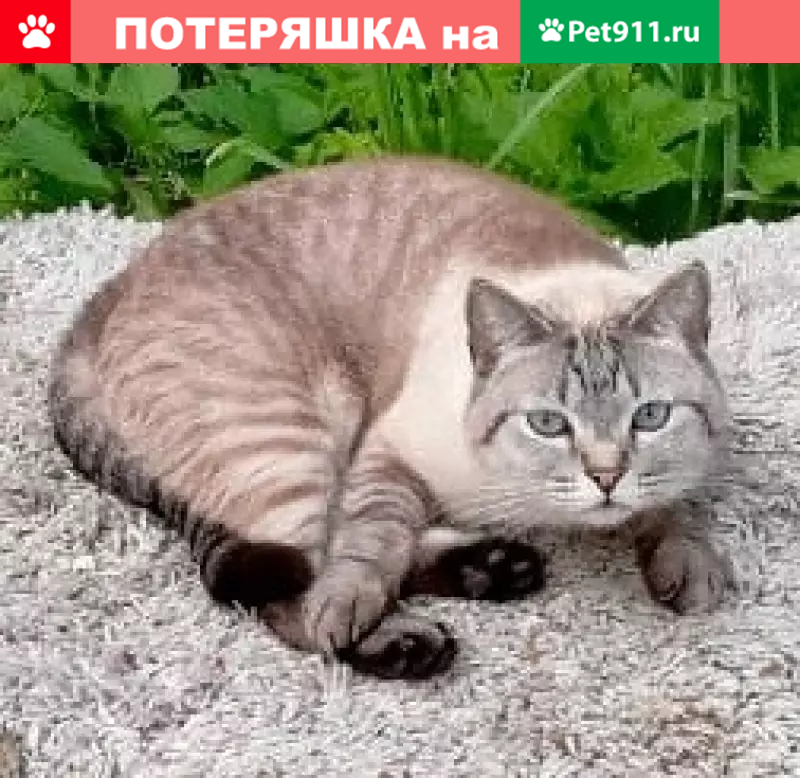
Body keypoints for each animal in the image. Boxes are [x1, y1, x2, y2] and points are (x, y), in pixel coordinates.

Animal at [48, 156, 732, 680]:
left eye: (650, 417)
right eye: (548, 424)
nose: (605, 477)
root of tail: (106, 296)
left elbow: (677, 504)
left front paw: (687, 564)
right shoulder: (387, 451)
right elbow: (369, 545)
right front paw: (352, 605)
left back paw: (497, 567)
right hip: (296, 439)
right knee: (299, 582)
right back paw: (404, 638)